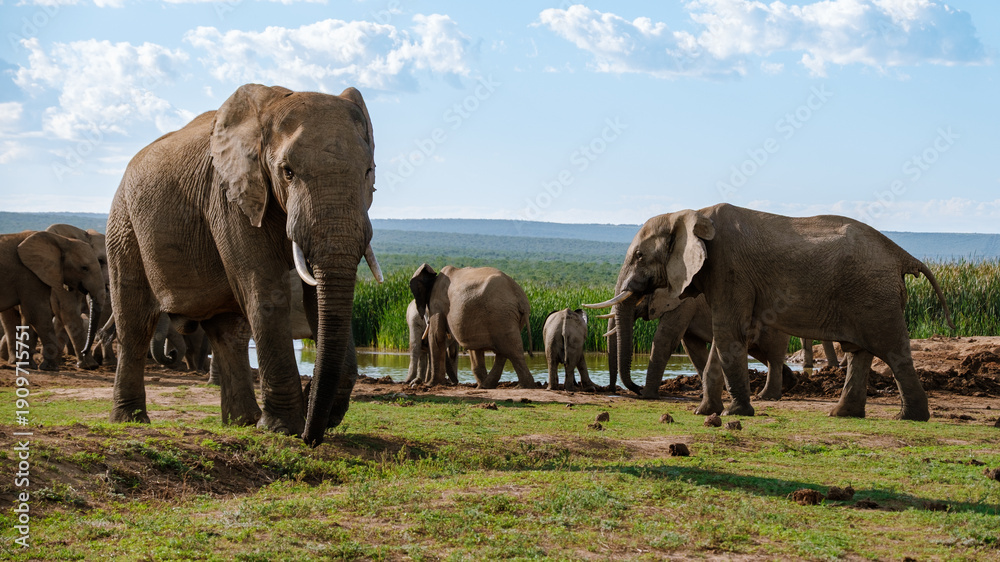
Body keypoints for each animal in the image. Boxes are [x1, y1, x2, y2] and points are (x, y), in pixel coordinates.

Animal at [0, 231, 107, 371]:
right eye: (84, 268)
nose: (85, 351)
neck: (61, 240)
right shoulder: (30, 274)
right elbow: (39, 314)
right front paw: (51, 367)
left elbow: (31, 316)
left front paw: (29, 366)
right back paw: (13, 362)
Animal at [106, 83, 382, 446]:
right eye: (287, 172)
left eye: (369, 172)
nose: (311, 437)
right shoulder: (229, 195)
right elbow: (266, 294)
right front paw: (283, 428)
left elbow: (316, 299)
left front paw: (312, 412)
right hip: (123, 224)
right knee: (134, 323)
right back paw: (131, 420)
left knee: (228, 333)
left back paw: (242, 422)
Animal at [603, 290, 795, 400]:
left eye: (639, 296)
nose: (612, 389)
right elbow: (692, 347)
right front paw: (706, 393)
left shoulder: (684, 303)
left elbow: (665, 339)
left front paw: (647, 395)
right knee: (762, 353)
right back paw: (789, 385)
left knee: (773, 354)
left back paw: (767, 396)